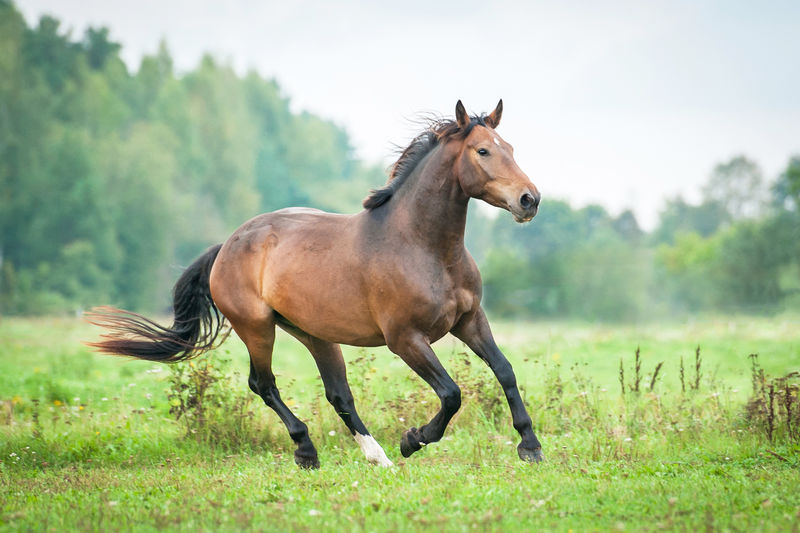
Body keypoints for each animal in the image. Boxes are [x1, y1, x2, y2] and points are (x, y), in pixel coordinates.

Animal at [87, 100, 544, 466]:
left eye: (510, 148)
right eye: (482, 151)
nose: (530, 200)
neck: (423, 246)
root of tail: (228, 245)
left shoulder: (469, 320)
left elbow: (505, 371)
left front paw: (530, 446)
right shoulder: (406, 339)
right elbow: (451, 393)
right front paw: (413, 439)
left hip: (314, 334)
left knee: (338, 394)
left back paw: (376, 457)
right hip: (257, 328)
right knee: (263, 384)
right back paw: (308, 451)